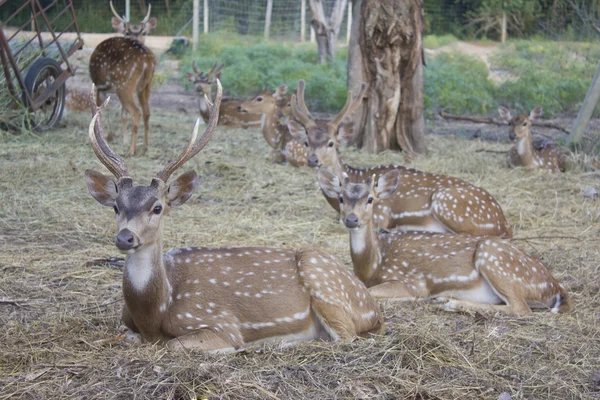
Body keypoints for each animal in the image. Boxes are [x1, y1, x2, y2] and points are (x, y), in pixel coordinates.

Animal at [83, 83, 384, 350]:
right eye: (116, 206)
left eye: (157, 207)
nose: (125, 237)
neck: (155, 312)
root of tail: (373, 307)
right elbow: (121, 336)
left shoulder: (220, 323)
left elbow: (175, 345)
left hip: (323, 280)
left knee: (346, 336)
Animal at [89, 1, 158, 156]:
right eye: (127, 32)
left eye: (144, 32)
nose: (135, 37)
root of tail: (147, 60)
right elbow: (123, 115)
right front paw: (124, 142)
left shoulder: (100, 87)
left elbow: (99, 116)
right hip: (145, 86)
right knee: (146, 112)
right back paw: (145, 147)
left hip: (124, 83)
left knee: (136, 112)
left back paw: (132, 150)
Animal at [288, 79, 512, 239]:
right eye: (306, 142)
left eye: (331, 143)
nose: (312, 160)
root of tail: (503, 222)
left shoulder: (380, 213)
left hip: (446, 202)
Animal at [318, 169, 572, 316]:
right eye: (341, 198)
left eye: (371, 199)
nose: (352, 219)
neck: (374, 263)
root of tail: (554, 286)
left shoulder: (412, 280)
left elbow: (374, 293)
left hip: (492, 255)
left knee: (521, 309)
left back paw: (451, 303)